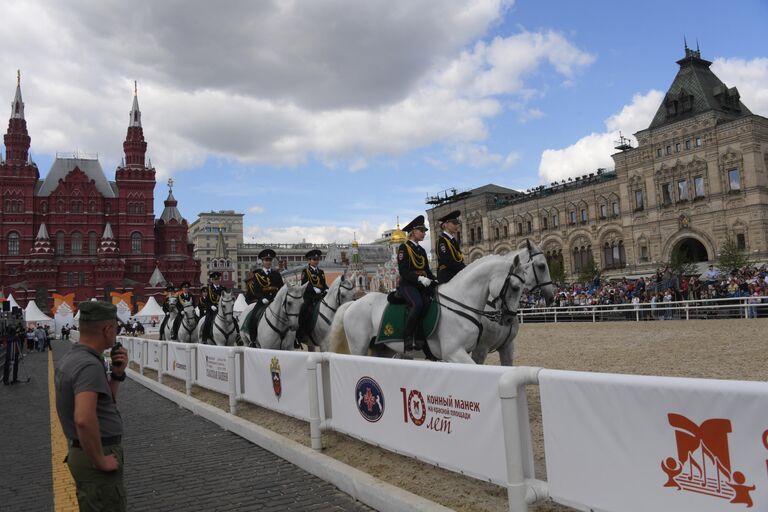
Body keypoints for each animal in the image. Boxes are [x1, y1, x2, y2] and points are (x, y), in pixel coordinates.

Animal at [330, 254, 528, 362]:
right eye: (515, 287)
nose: (509, 318)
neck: (460, 303)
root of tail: (354, 303)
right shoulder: (454, 353)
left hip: (383, 349)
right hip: (359, 347)